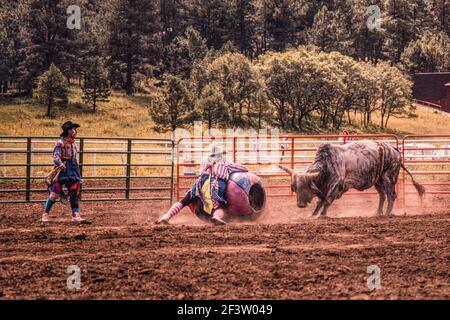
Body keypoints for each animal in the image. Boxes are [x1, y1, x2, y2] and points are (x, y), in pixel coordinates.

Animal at [280, 141, 424, 219]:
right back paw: (377, 212)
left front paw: (322, 215)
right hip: (377, 180)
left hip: (389, 177)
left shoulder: (336, 185)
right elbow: (320, 201)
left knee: (391, 195)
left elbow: (326, 201)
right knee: (382, 195)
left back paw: (387, 213)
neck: (327, 164)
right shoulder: (324, 188)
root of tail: (394, 150)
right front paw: (313, 214)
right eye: (295, 188)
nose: (300, 205)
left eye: (306, 187)